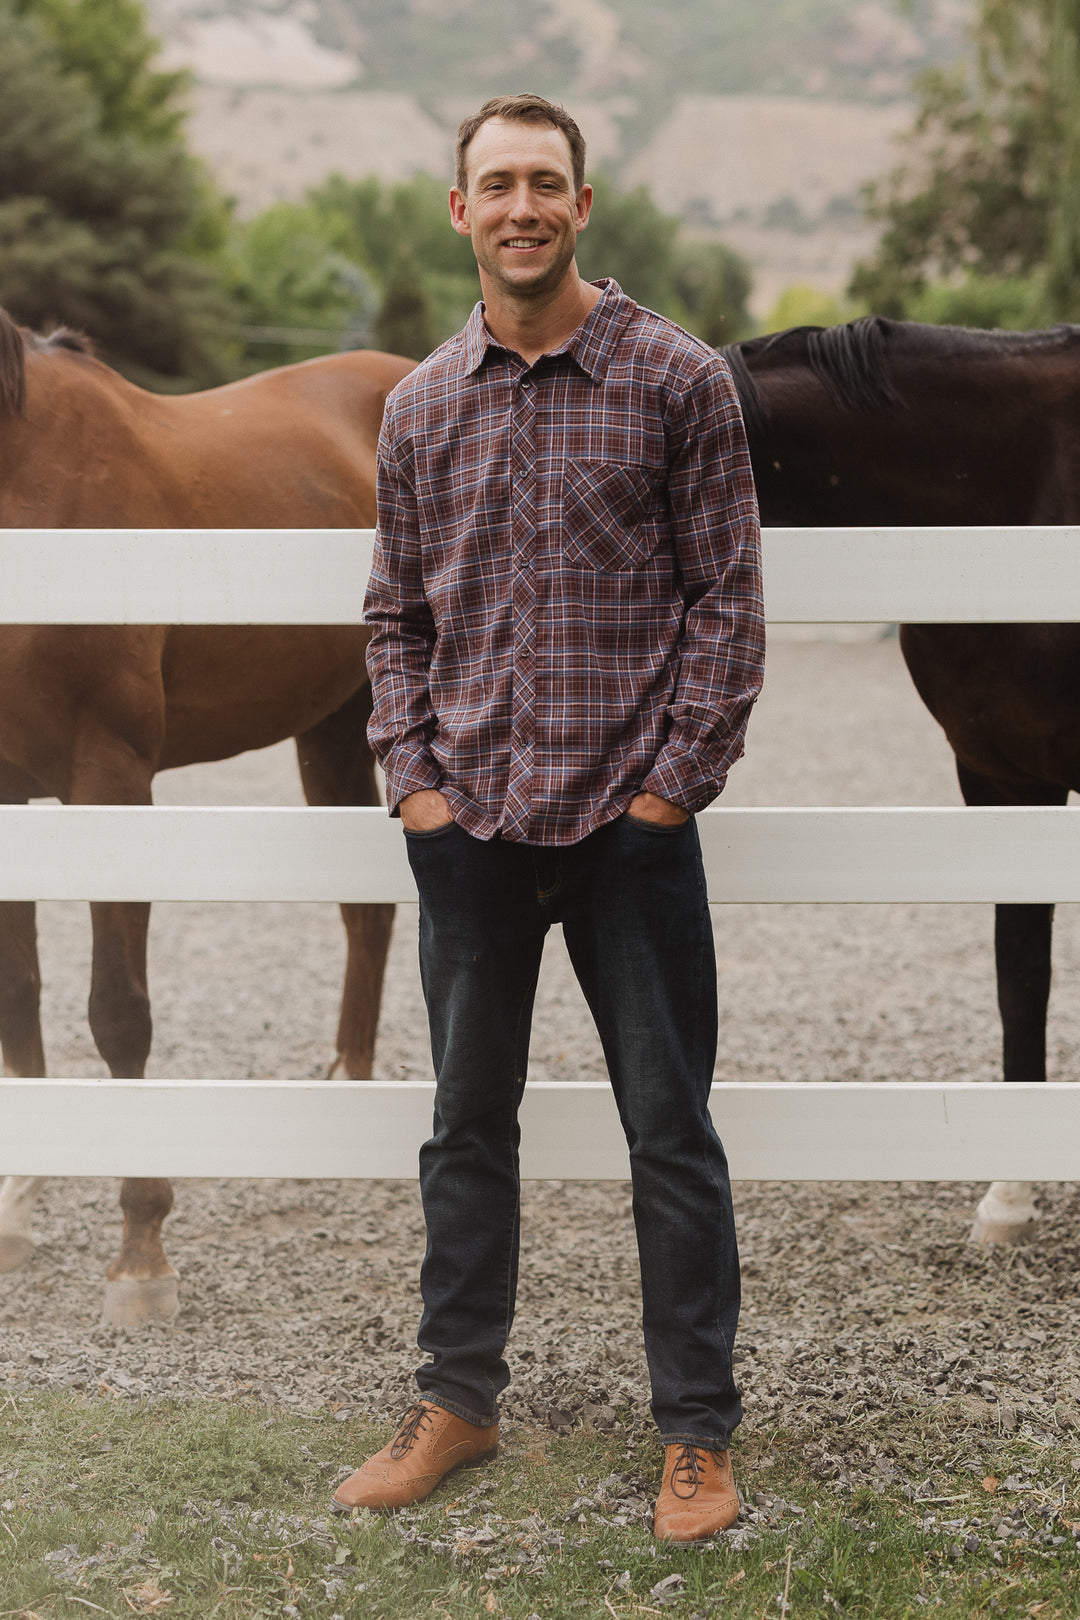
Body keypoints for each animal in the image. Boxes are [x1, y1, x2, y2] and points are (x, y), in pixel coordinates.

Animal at [0, 309, 414, 1321]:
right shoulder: (7, 790)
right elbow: (18, 997)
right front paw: (17, 1214)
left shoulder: (110, 782)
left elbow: (118, 1013)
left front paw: (141, 1254)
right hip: (331, 728)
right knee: (366, 916)